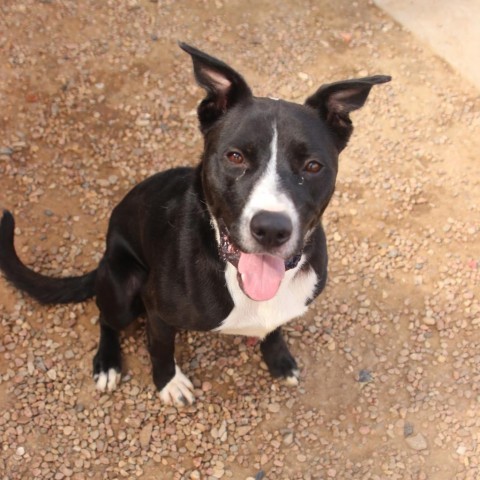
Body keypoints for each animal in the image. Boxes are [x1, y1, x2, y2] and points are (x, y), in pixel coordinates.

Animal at [0, 44, 390, 404]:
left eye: (312, 166)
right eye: (235, 157)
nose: (271, 229)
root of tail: (103, 260)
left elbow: (275, 329)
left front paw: (279, 359)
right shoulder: (157, 311)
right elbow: (160, 349)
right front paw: (168, 383)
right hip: (123, 284)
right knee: (106, 317)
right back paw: (107, 362)